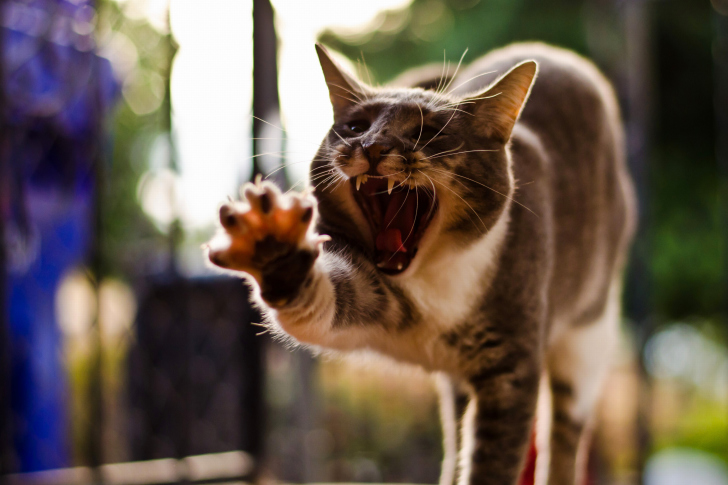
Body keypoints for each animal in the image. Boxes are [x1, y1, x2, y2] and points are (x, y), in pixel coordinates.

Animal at [206, 41, 636, 484]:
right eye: (355, 127)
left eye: (429, 133)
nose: (373, 146)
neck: (432, 275)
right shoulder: (370, 291)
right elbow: (322, 307)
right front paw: (272, 245)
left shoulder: (511, 370)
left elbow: (491, 463)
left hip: (589, 335)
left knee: (565, 431)